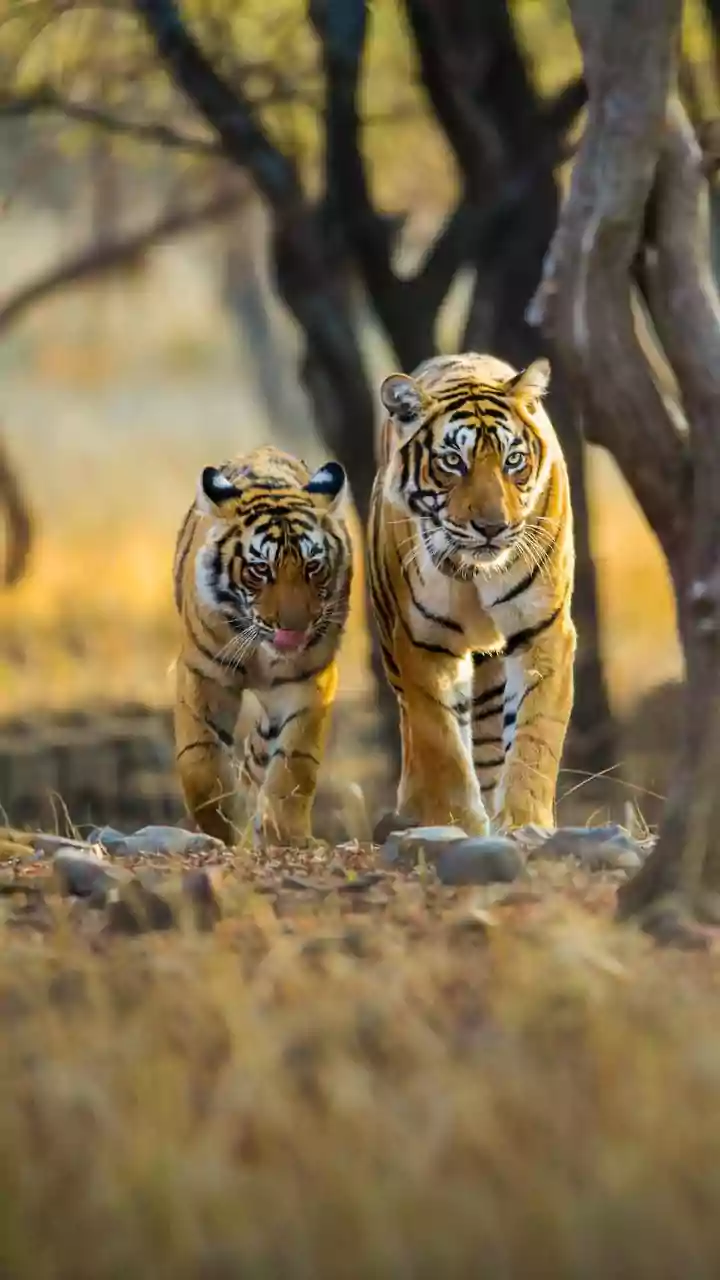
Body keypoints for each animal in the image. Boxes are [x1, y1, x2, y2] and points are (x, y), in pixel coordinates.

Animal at [173, 445, 352, 848]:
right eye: (260, 570)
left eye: (313, 566)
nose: (294, 628)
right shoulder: (203, 673)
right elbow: (200, 762)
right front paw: (222, 828)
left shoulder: (308, 681)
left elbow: (294, 762)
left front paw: (284, 834)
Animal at [368, 351, 576, 836]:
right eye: (452, 462)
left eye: (513, 460)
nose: (492, 527)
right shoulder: (423, 642)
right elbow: (440, 741)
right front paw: (453, 821)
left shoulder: (543, 631)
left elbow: (535, 735)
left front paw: (524, 822)